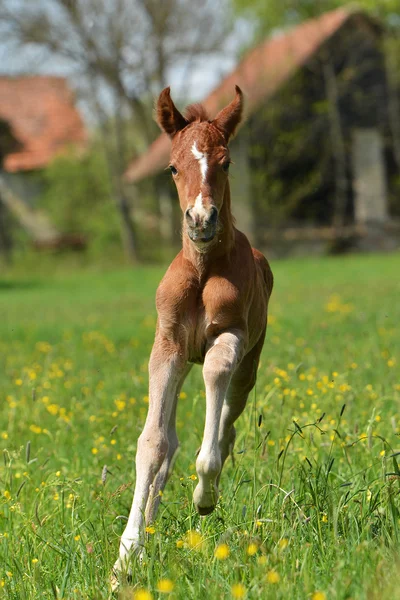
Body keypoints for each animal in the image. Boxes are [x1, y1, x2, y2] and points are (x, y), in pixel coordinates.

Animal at [114, 86, 274, 580]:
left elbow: (215, 384)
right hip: (184, 359)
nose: (201, 220)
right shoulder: (167, 347)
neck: (202, 271)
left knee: (228, 418)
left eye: (226, 162)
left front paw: (205, 494)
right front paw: (126, 556)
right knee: (171, 442)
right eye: (172, 167)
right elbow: (152, 444)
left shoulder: (230, 335)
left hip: (251, 363)